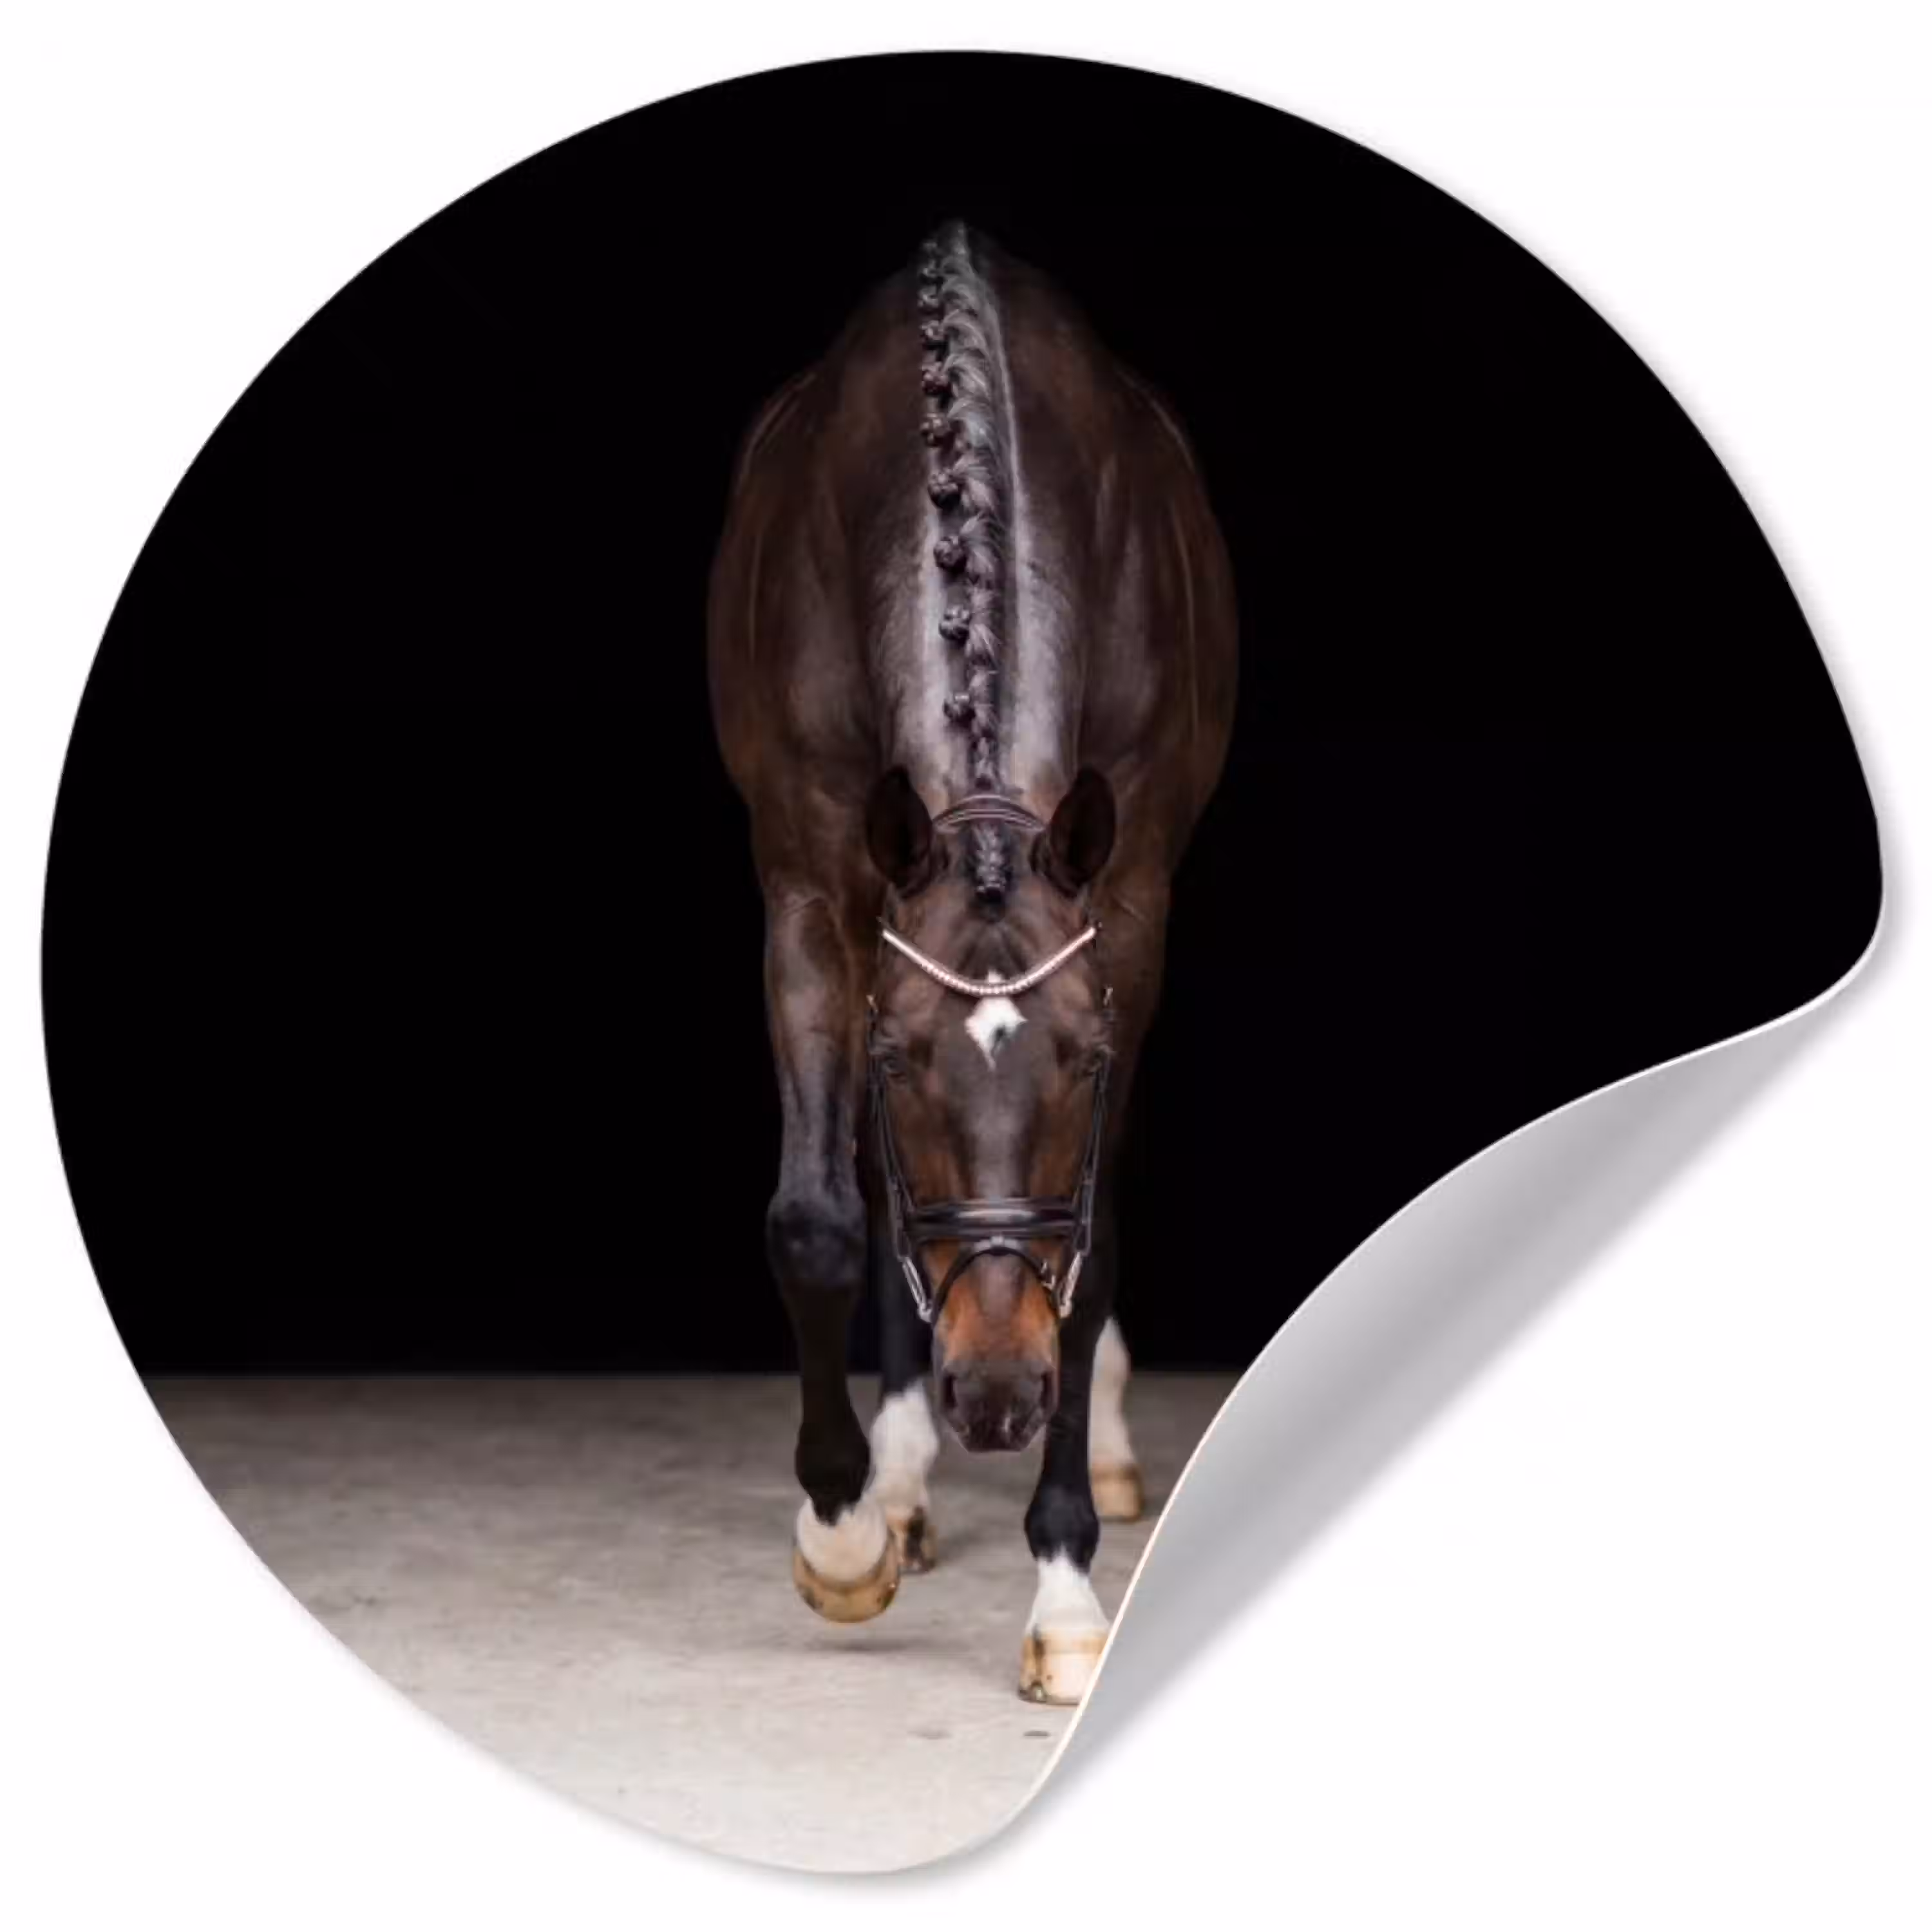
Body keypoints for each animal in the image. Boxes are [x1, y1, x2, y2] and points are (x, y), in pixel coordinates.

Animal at [707, 220, 1237, 1703]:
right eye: (898, 1064)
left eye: (1086, 1061)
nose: (996, 1396)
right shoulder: (812, 889)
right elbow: (824, 1218)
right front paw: (843, 1536)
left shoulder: (1129, 908)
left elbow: (1088, 1249)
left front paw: (1064, 1596)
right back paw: (898, 1483)